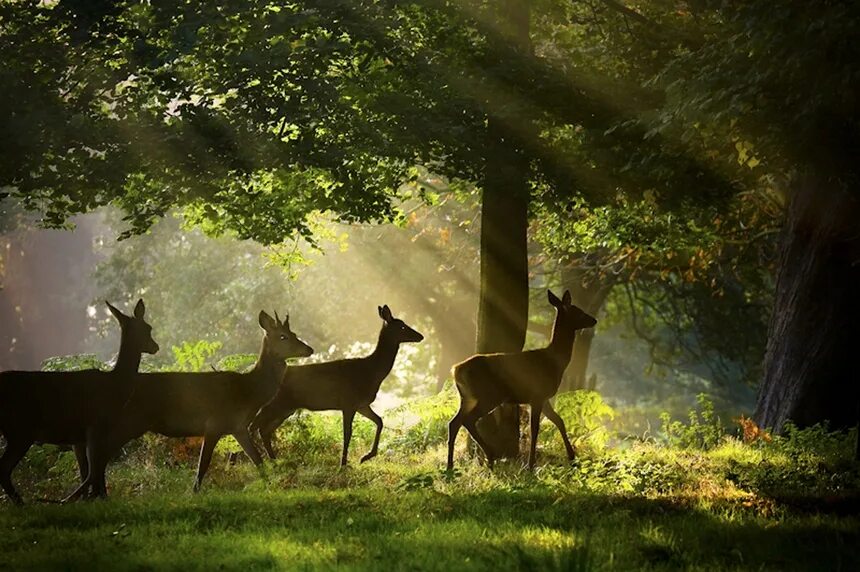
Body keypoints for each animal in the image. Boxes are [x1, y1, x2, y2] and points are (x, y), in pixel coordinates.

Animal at [0, 298, 158, 502]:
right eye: (148, 328)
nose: (155, 347)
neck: (115, 387)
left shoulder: (79, 437)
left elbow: (87, 471)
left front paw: (87, 499)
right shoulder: (96, 425)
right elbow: (96, 468)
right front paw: (99, 498)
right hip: (20, 429)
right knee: (3, 469)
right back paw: (23, 503)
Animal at [64, 308, 312, 500]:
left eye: (294, 333)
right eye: (283, 336)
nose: (309, 349)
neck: (249, 393)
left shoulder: (238, 427)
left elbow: (257, 460)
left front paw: (272, 485)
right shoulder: (214, 423)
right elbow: (203, 464)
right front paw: (194, 492)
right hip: (128, 421)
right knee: (98, 455)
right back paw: (87, 495)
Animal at [249, 306, 424, 466]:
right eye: (402, 326)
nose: (420, 336)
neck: (371, 372)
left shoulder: (361, 404)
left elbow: (379, 421)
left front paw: (367, 456)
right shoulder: (348, 402)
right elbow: (347, 433)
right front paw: (344, 464)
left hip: (285, 409)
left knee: (264, 430)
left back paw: (274, 461)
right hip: (273, 405)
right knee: (254, 427)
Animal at [446, 292, 596, 472]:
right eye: (578, 311)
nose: (594, 320)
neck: (555, 362)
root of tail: (456, 370)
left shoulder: (544, 397)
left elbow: (559, 420)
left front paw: (572, 457)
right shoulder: (537, 395)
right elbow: (535, 429)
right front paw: (530, 466)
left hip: (467, 397)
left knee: (454, 422)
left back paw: (450, 466)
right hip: (489, 395)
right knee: (468, 420)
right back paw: (490, 456)